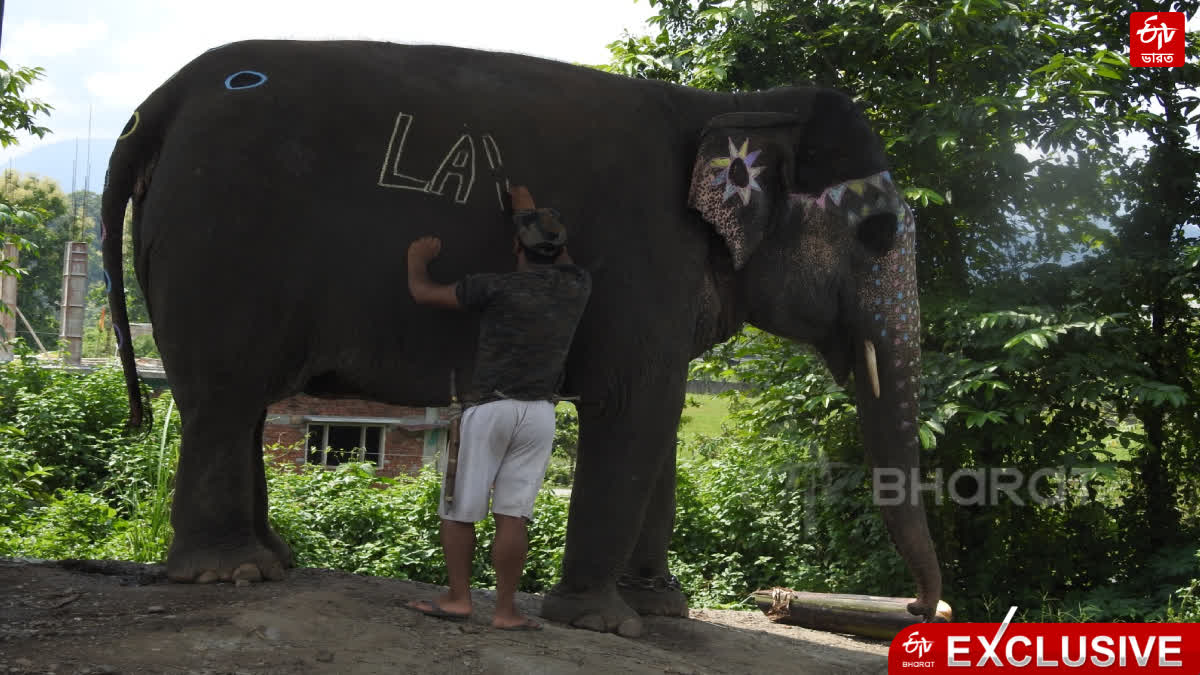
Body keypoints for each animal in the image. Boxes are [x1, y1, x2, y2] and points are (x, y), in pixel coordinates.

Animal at [100, 38, 936, 634]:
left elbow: (659, 420)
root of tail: (158, 103)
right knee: (224, 395)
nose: (919, 609)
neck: (741, 106)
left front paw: (662, 609)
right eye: (878, 231)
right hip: (222, 244)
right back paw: (230, 573)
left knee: (240, 404)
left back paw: (272, 561)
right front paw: (606, 623)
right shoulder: (646, 257)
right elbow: (632, 408)